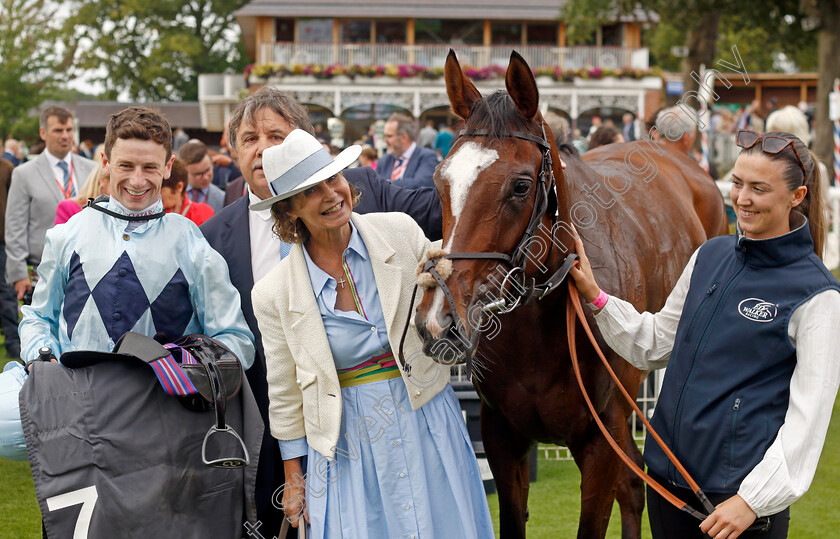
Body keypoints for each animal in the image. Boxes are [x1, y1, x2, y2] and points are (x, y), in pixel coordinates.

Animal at [414, 52, 728, 539]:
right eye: (439, 179)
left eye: (521, 185)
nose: (439, 319)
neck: (539, 333)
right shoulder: (501, 434)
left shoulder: (600, 437)